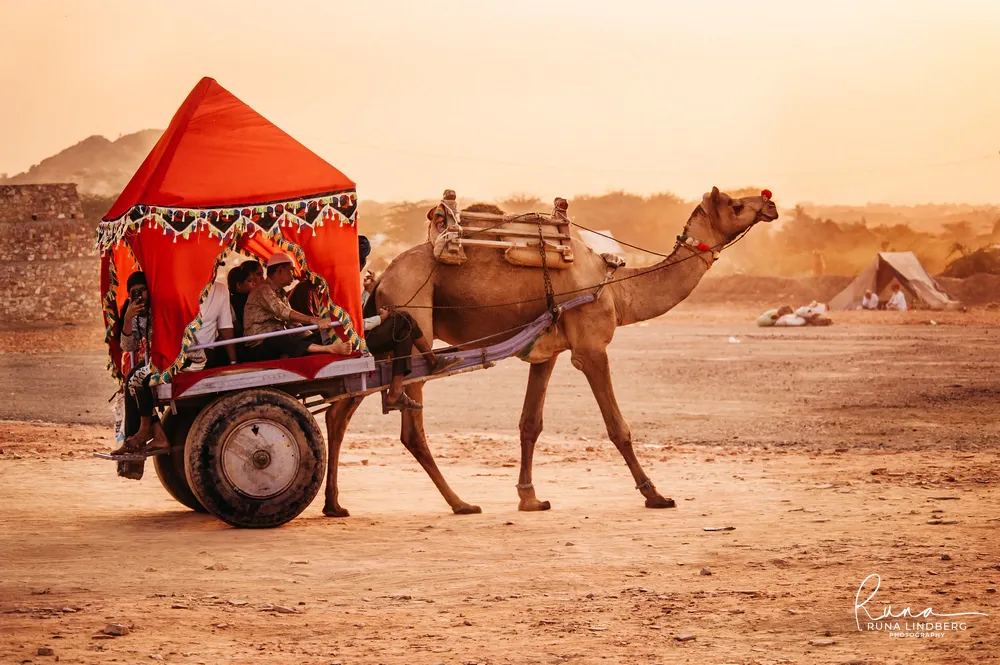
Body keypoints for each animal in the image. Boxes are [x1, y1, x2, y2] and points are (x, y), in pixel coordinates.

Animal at [322, 187, 778, 516]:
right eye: (736, 204)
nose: (770, 202)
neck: (617, 290)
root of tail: (381, 278)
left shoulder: (547, 352)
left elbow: (530, 423)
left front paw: (530, 498)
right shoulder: (591, 348)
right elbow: (618, 427)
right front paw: (655, 495)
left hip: (384, 345)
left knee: (340, 410)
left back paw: (334, 504)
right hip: (414, 327)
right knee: (408, 428)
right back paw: (460, 503)